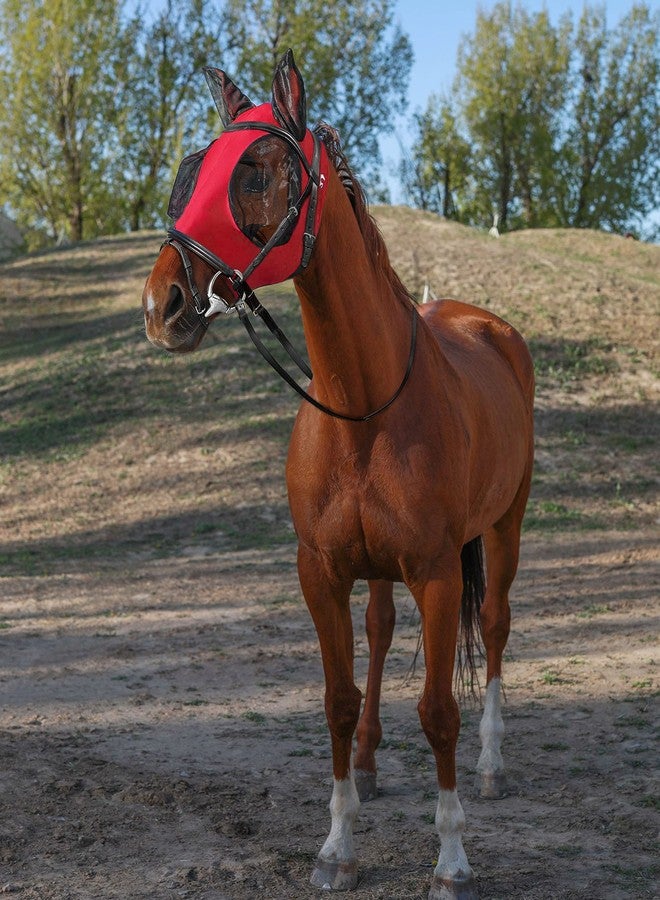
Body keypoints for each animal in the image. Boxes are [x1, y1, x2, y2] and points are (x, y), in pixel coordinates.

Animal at [142, 49, 534, 900]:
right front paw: (337, 845)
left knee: (493, 630)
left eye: (255, 169)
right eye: (192, 171)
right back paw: (371, 762)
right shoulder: (320, 572)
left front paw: (451, 859)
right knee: (382, 633)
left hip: (505, 525)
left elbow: (439, 713)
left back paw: (493, 766)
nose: (164, 303)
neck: (365, 406)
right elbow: (336, 700)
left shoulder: (437, 572)